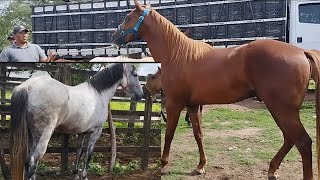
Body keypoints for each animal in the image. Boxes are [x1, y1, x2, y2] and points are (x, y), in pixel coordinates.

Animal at [9, 63, 143, 180]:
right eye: (135, 74)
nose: (140, 95)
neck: (99, 94)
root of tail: (27, 86)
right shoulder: (96, 132)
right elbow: (88, 155)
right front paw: (84, 176)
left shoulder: (82, 133)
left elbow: (79, 152)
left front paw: (74, 175)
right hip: (43, 135)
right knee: (32, 161)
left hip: (32, 136)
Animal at [113, 1, 320, 179]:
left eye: (128, 17)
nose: (114, 37)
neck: (177, 55)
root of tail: (302, 52)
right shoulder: (193, 106)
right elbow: (198, 134)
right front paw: (200, 166)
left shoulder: (174, 104)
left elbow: (169, 134)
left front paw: (163, 164)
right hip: (279, 109)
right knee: (289, 139)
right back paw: (272, 169)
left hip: (282, 109)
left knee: (302, 142)